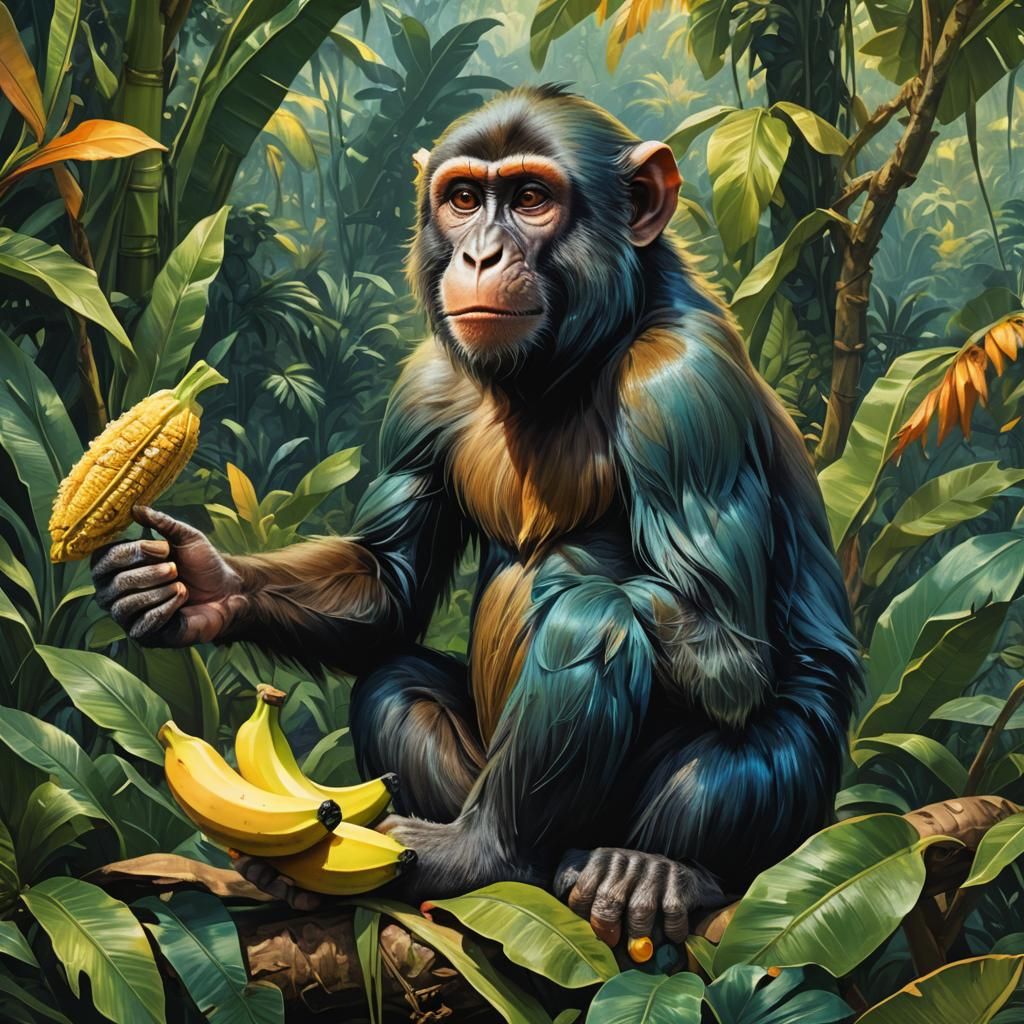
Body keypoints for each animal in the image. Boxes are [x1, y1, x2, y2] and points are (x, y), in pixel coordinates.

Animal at [91, 85, 861, 948]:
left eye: (529, 199)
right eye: (463, 199)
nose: (483, 256)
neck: (569, 360)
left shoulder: (682, 392)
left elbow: (724, 649)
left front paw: (564, 576)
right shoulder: (423, 385)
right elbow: (388, 585)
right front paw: (197, 585)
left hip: (796, 807)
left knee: (604, 632)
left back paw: (587, 862)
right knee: (394, 683)